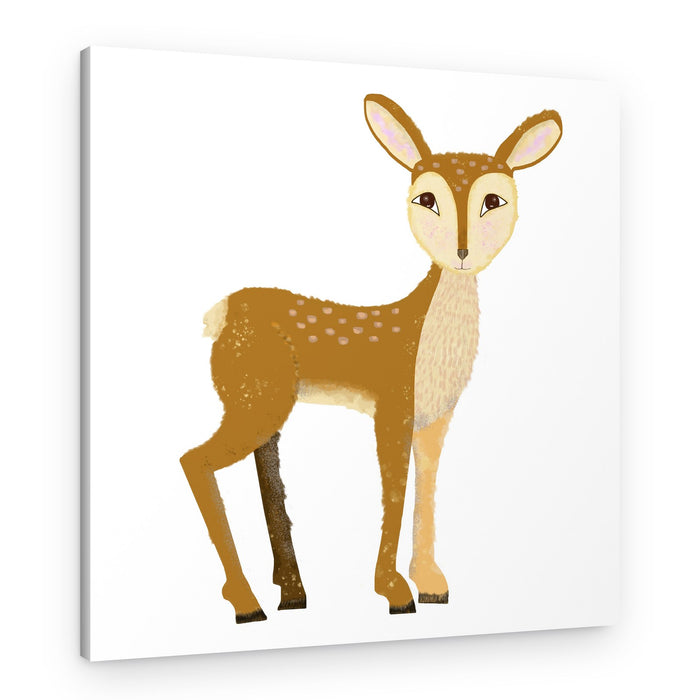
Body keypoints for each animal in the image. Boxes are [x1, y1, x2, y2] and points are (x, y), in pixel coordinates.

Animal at [180, 94, 562, 624]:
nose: (463, 252)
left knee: (264, 470)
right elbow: (394, 492)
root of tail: (220, 312)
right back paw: (246, 602)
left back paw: (290, 593)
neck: (428, 342)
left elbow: (425, 488)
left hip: (262, 402)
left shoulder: (434, 420)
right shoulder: (392, 407)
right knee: (193, 460)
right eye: (426, 199)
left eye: (494, 200)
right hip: (256, 401)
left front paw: (432, 584)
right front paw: (395, 591)